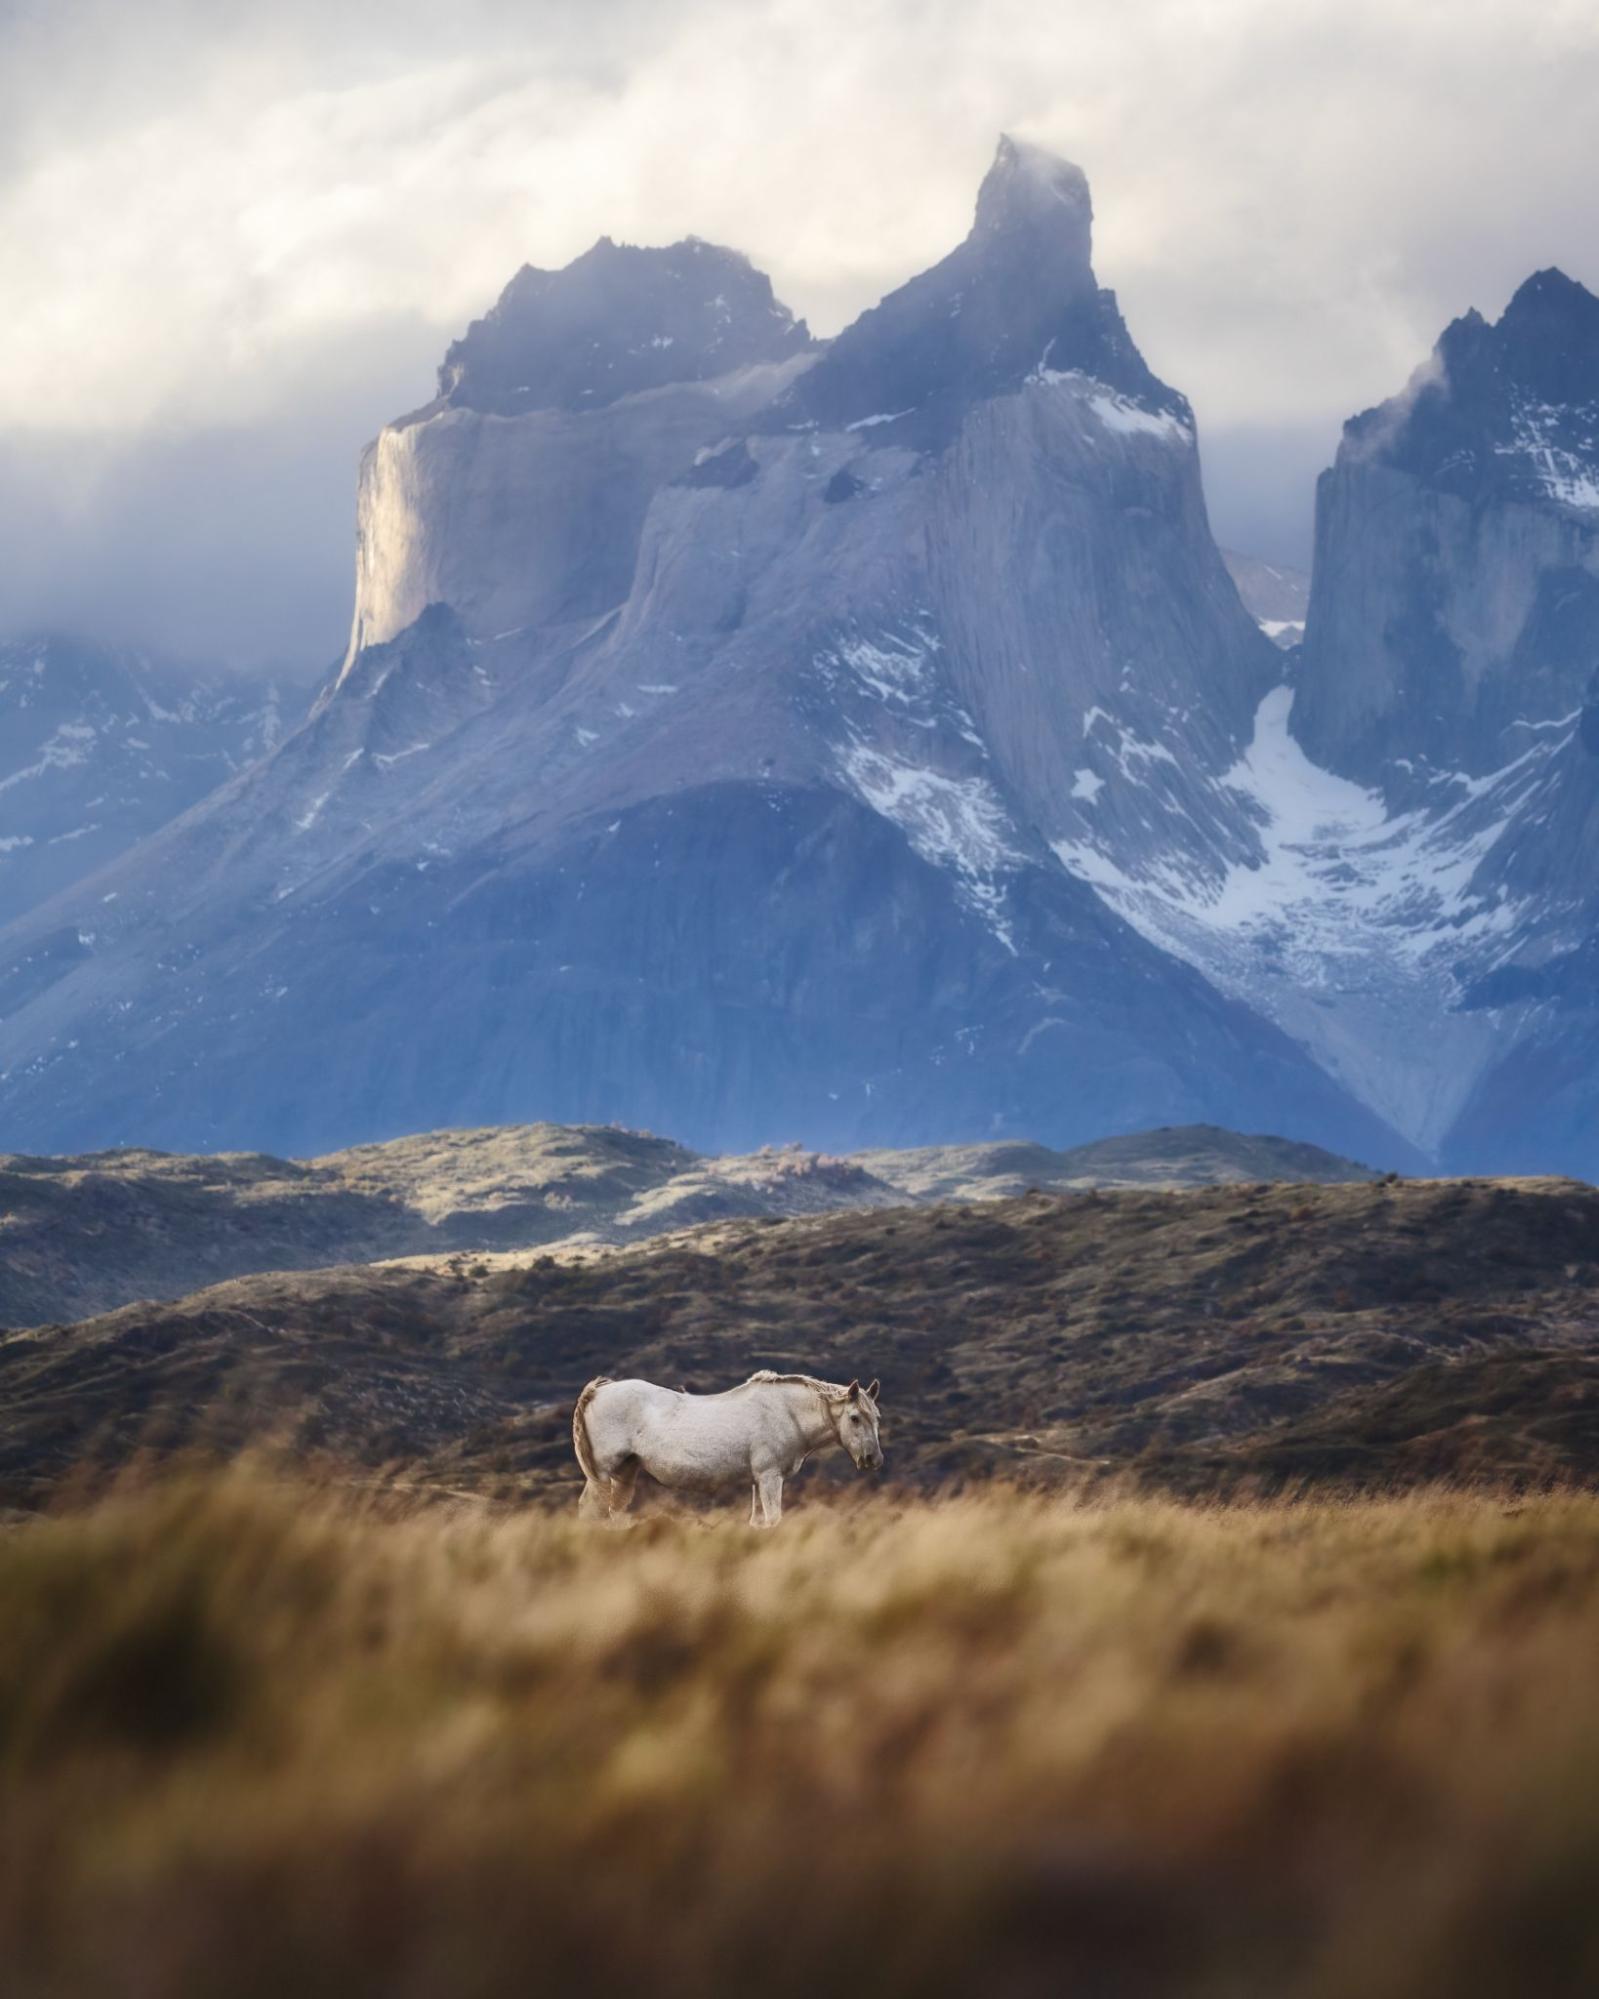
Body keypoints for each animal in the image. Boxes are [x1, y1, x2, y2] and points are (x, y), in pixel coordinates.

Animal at [571, 1370, 883, 1526]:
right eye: (855, 1418)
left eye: (877, 1417)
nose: (873, 1459)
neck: (785, 1411)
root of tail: (598, 1391)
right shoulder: (770, 1478)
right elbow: (774, 1518)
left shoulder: (758, 1481)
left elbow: (759, 1521)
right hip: (601, 1476)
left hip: (624, 1474)